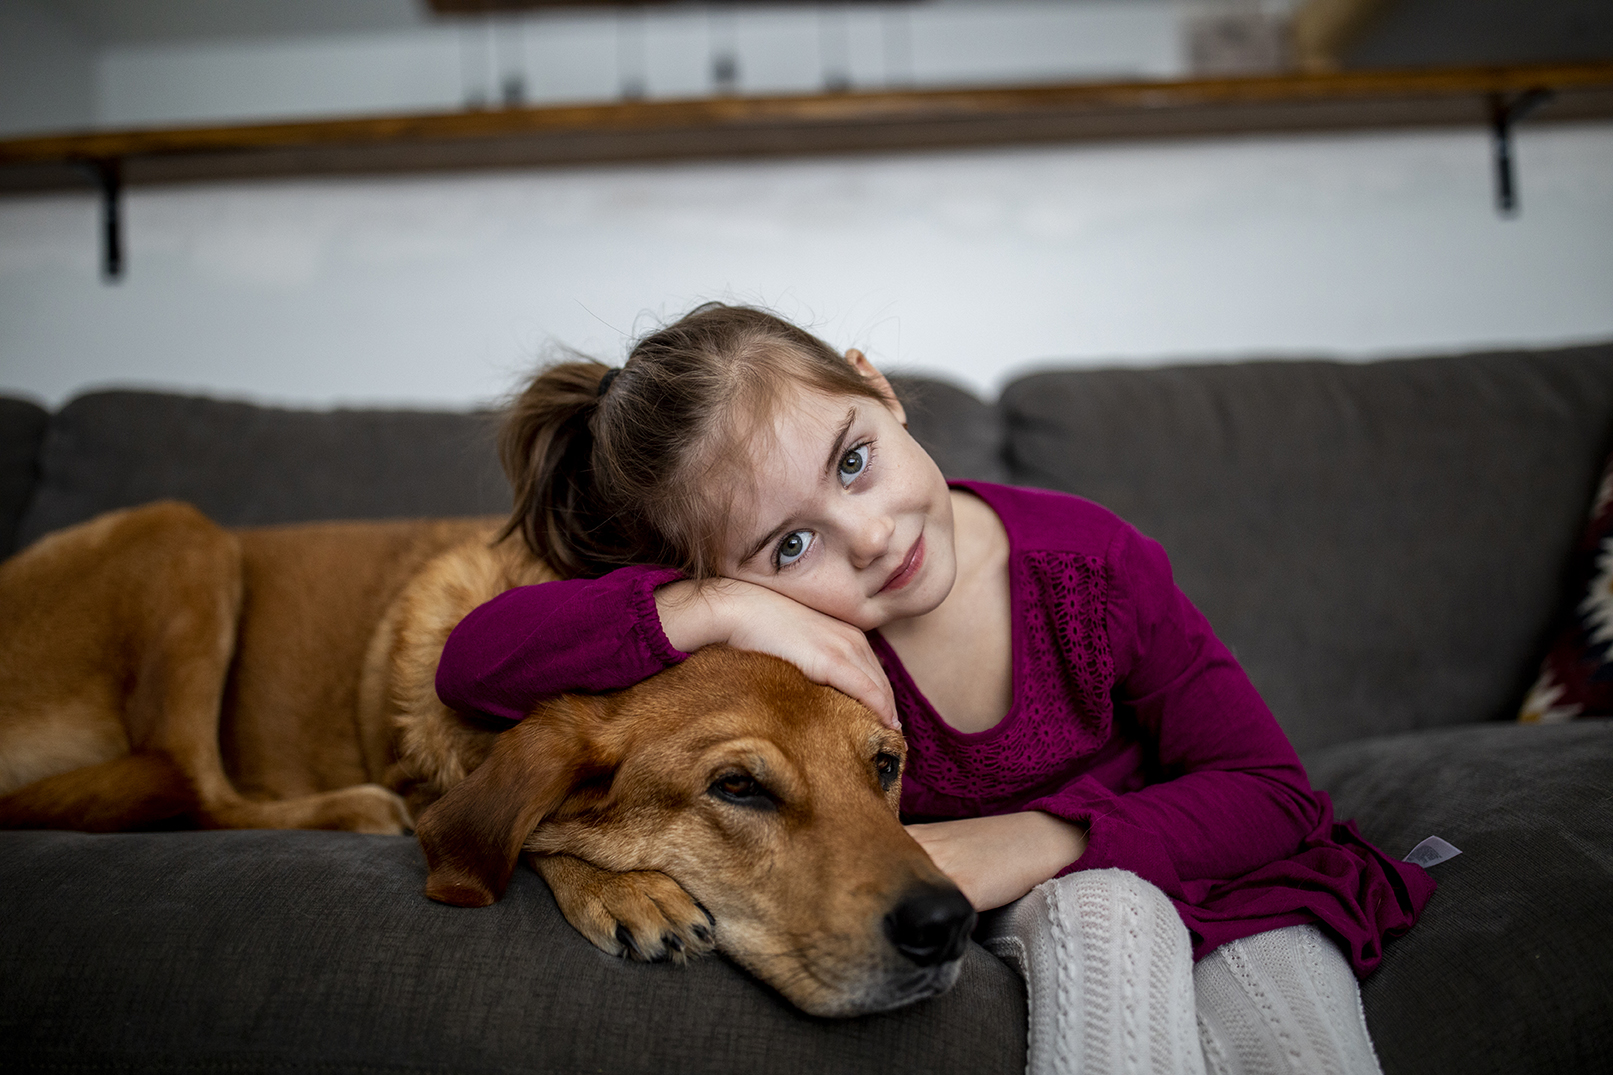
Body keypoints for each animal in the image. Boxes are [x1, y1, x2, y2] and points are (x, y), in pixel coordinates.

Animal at [0, 497, 967, 1007]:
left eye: (885, 767)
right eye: (736, 786)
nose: (946, 924)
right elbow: (508, 826)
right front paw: (626, 889)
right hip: (182, 534)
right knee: (188, 779)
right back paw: (353, 810)